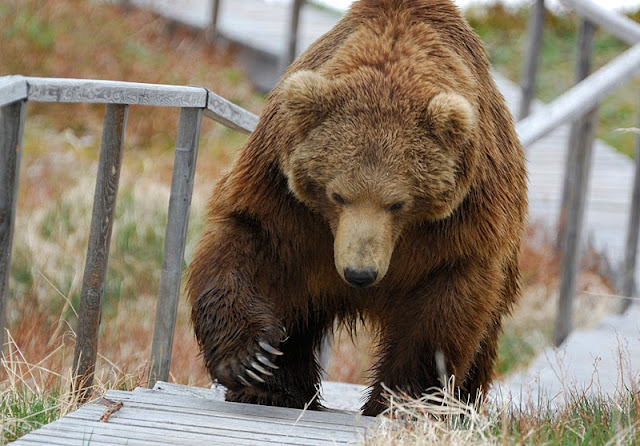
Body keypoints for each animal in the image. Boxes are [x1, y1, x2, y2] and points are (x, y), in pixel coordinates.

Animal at [188, 0, 528, 418]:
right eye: (338, 195)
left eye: (397, 202)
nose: (360, 273)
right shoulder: (287, 201)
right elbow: (247, 244)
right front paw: (252, 360)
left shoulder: (461, 222)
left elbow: (443, 308)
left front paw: (401, 399)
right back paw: (276, 391)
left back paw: (463, 405)